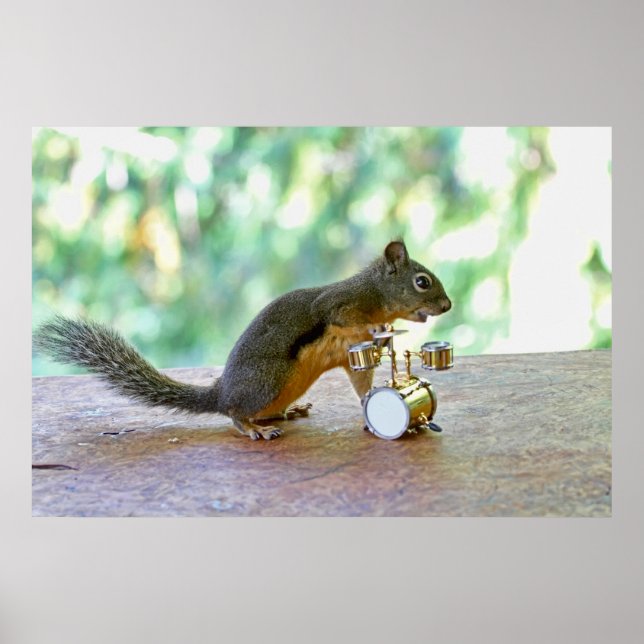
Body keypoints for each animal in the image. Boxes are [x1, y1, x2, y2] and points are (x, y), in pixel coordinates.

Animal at [34, 240, 451, 440]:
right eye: (422, 281)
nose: (447, 306)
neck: (377, 294)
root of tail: (219, 393)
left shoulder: (354, 356)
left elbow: (364, 384)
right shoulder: (339, 304)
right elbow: (341, 318)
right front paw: (377, 330)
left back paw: (285, 413)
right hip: (268, 380)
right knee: (234, 415)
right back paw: (255, 428)